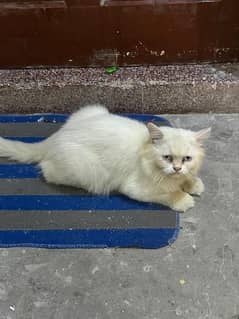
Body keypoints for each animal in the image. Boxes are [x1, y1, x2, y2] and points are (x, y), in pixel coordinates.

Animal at [0, 105, 210, 212]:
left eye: (187, 159)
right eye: (167, 157)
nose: (177, 168)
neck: (144, 149)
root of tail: (57, 136)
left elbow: (186, 179)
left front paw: (192, 183)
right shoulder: (135, 188)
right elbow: (167, 193)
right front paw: (183, 199)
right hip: (87, 171)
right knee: (46, 170)